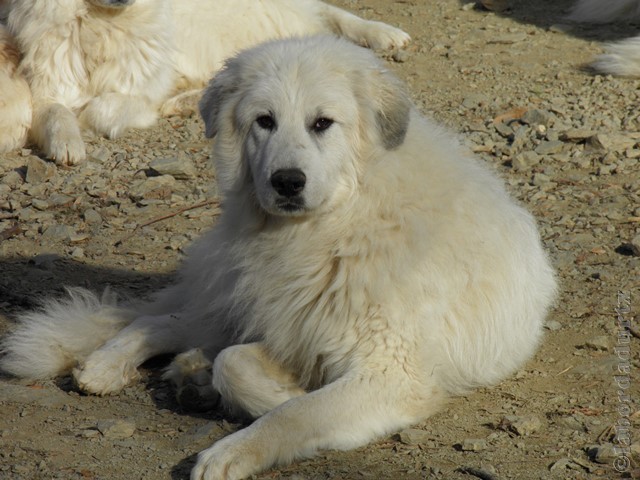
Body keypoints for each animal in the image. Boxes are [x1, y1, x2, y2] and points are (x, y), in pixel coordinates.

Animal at [0, 36, 556, 480]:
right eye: (264, 121)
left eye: (323, 123)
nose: (287, 182)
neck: (338, 224)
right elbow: (244, 369)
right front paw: (276, 390)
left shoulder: (388, 372)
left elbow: (292, 409)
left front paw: (238, 442)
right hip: (240, 299)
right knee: (164, 320)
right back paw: (110, 364)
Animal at [5, 0, 410, 165]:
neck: (100, 24)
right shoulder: (46, 86)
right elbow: (56, 113)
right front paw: (67, 143)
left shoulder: (139, 90)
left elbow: (101, 109)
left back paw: (384, 33)